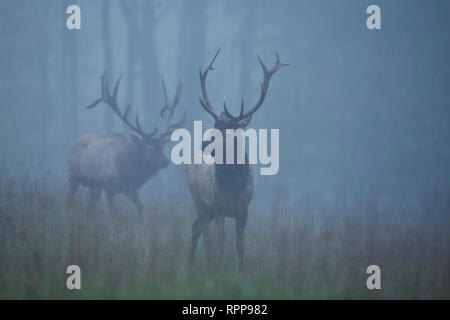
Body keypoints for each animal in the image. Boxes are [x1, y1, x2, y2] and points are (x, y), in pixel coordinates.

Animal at [65, 72, 185, 218]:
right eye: (149, 148)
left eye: (162, 147)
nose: (165, 161)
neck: (129, 170)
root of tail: (74, 143)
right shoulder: (110, 186)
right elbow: (115, 214)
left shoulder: (131, 189)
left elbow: (141, 207)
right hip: (73, 176)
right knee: (69, 201)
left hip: (95, 186)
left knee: (90, 208)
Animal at [186, 49, 288, 270]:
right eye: (215, 125)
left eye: (230, 129)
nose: (205, 144)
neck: (233, 188)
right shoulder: (219, 208)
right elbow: (221, 241)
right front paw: (219, 268)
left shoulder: (244, 210)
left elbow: (241, 244)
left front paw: (241, 270)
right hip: (198, 200)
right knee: (204, 234)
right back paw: (203, 263)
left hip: (206, 209)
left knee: (196, 227)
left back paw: (191, 265)